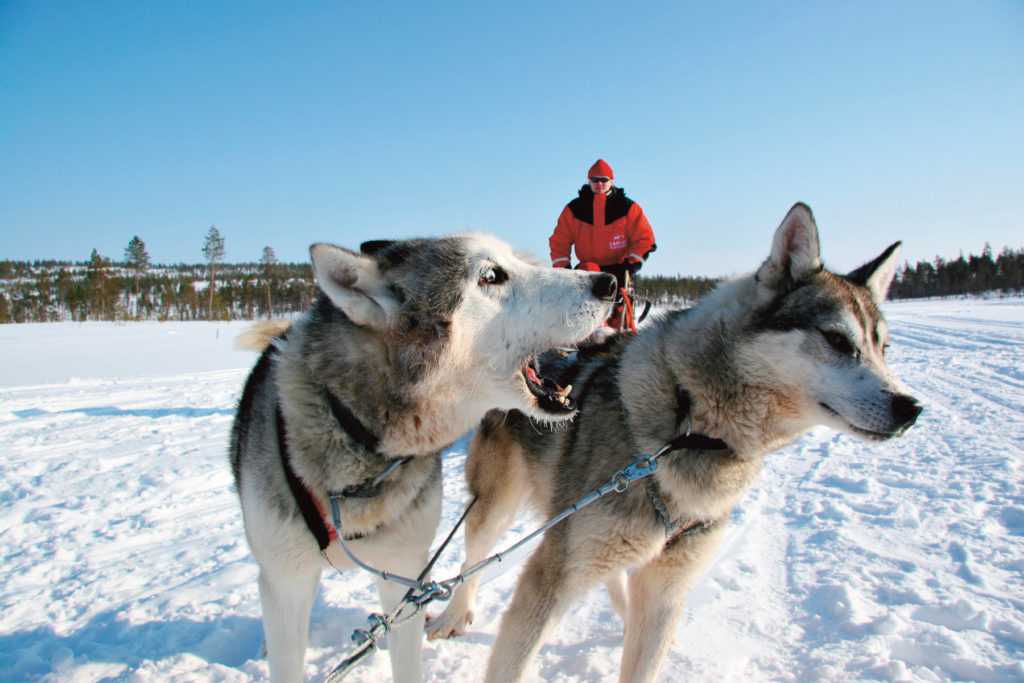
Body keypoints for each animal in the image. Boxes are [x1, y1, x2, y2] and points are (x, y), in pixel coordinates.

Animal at [428, 205, 925, 683]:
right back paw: (455, 614)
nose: (912, 408)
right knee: (473, 557)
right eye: (836, 339)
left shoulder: (666, 588)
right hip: (496, 504)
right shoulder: (550, 579)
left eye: (883, 348)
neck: (688, 422)